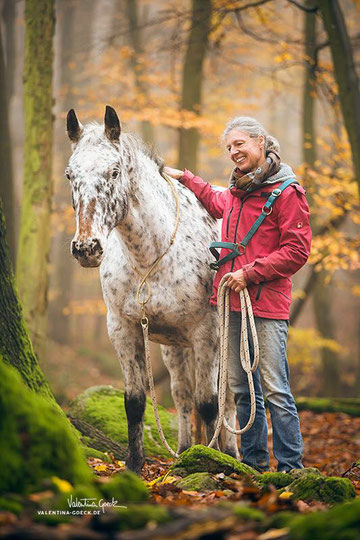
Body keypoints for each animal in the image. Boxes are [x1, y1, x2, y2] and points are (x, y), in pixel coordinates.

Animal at [65, 104, 239, 472]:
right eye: (70, 175)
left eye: (114, 172)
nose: (87, 248)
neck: (151, 257)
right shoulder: (123, 328)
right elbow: (134, 401)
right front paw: (133, 465)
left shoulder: (207, 333)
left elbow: (210, 403)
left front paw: (215, 464)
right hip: (174, 347)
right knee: (183, 395)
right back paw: (185, 451)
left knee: (229, 400)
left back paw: (232, 456)